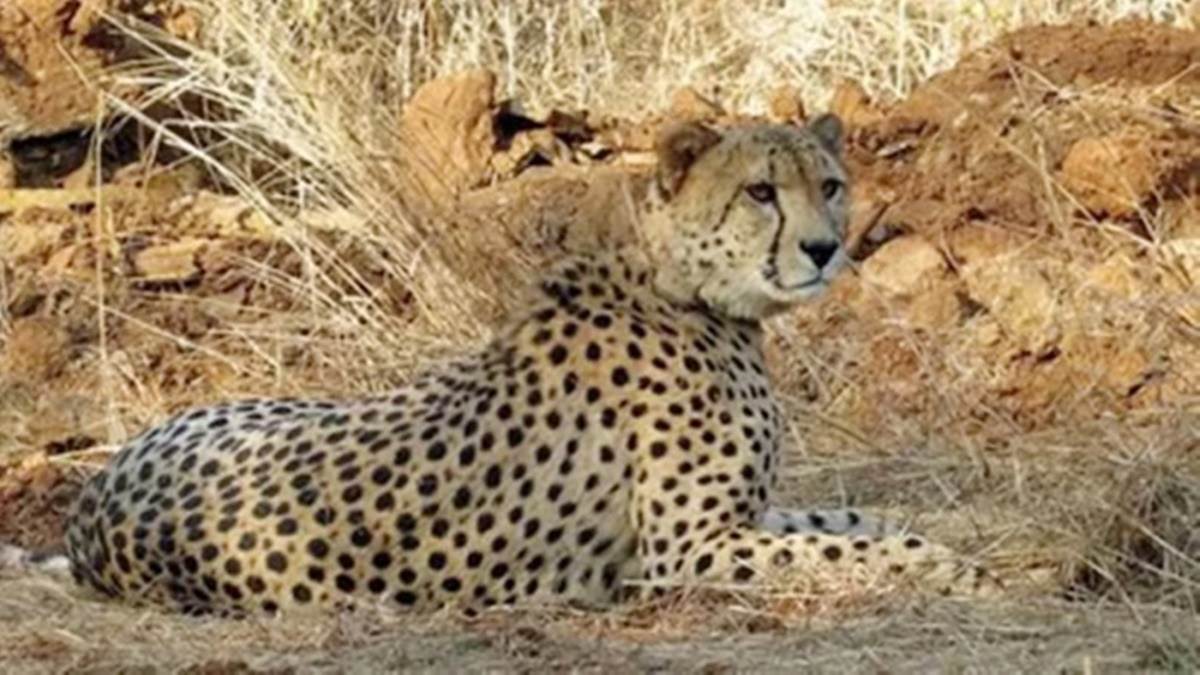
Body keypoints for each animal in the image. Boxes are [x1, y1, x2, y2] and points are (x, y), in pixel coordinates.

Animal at [4, 113, 998, 616]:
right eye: (760, 191)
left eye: (828, 183)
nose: (827, 249)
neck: (683, 287)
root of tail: (91, 504)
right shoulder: (687, 546)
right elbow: (851, 547)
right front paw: (956, 571)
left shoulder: (742, 516)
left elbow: (856, 516)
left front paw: (959, 547)